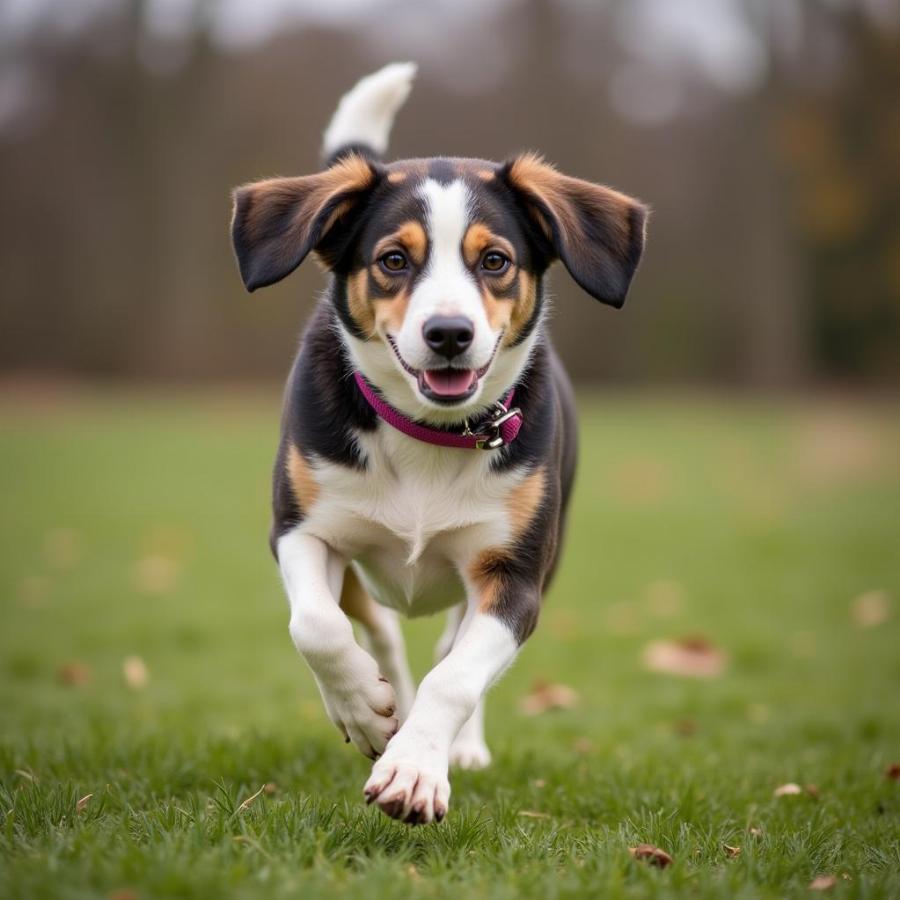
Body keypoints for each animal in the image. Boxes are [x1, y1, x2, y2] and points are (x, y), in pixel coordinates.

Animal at [229, 61, 644, 824]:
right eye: (394, 259)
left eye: (496, 261)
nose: (448, 333)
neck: (428, 432)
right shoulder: (301, 530)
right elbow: (316, 628)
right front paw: (366, 712)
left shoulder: (514, 577)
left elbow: (455, 676)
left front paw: (416, 768)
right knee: (381, 633)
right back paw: (381, 705)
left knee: (451, 648)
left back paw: (455, 744)